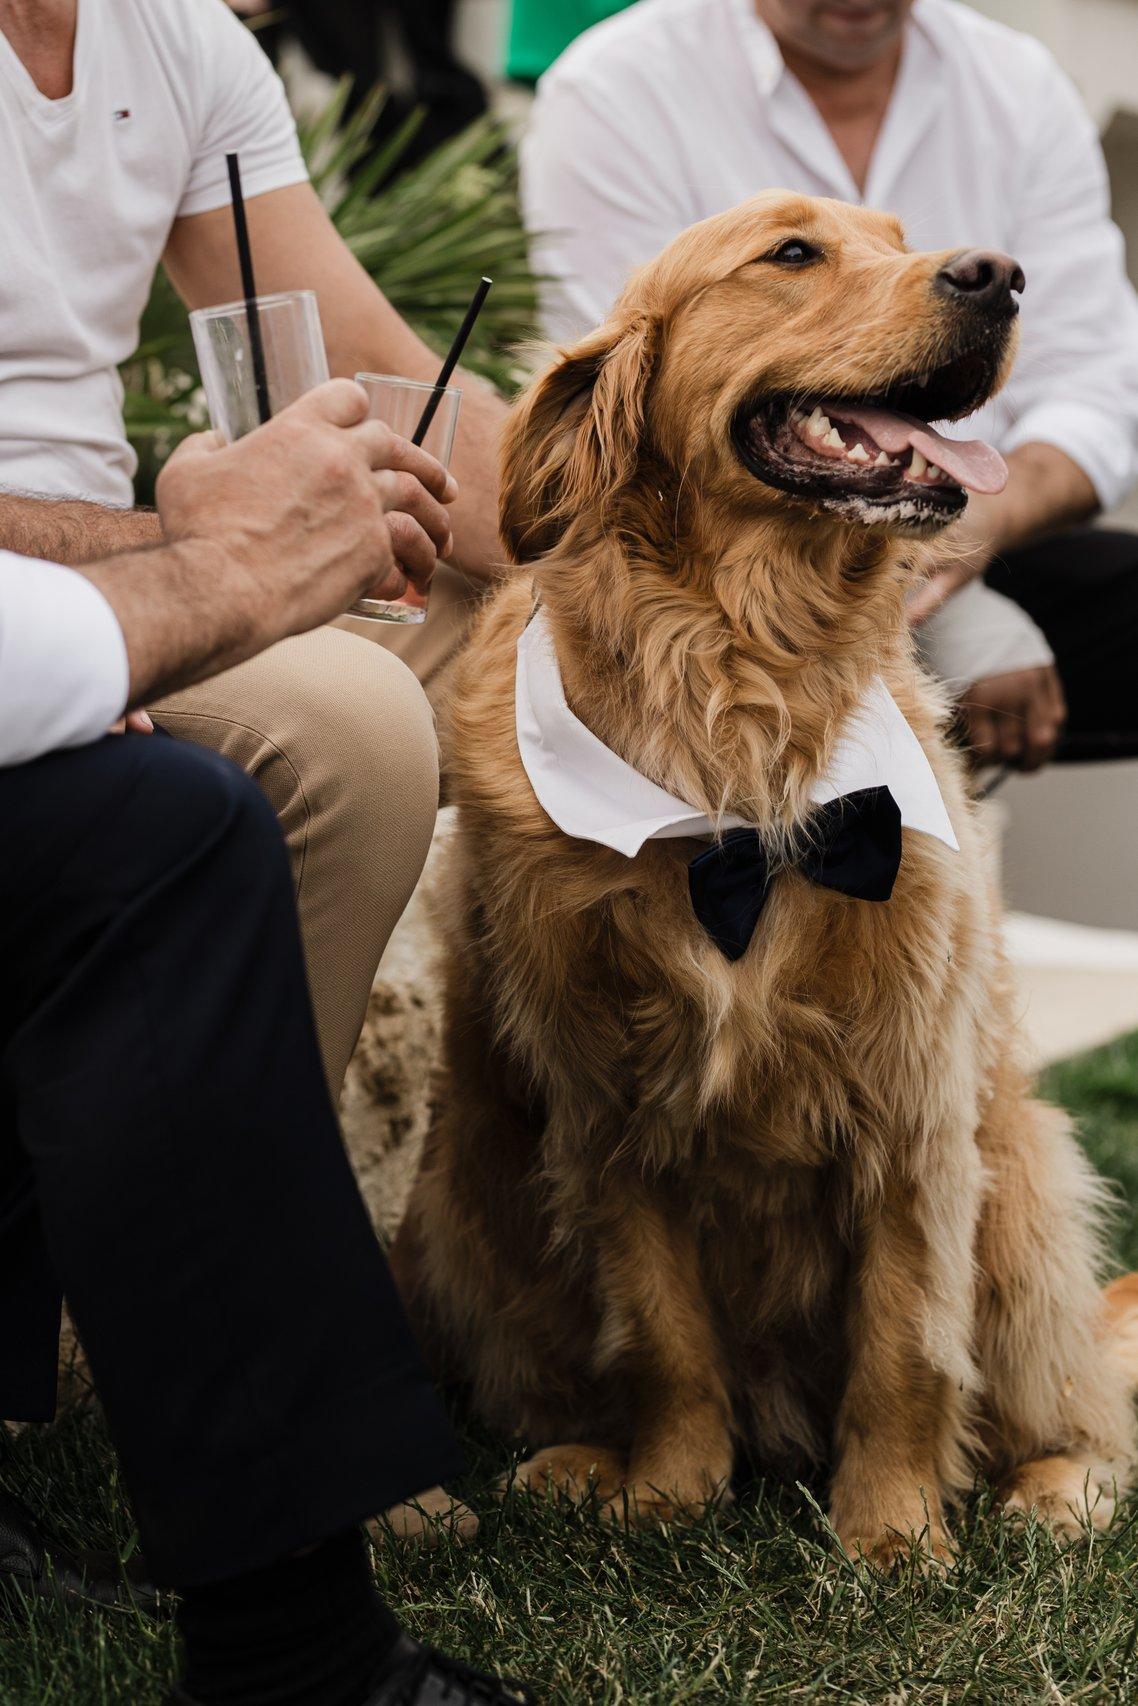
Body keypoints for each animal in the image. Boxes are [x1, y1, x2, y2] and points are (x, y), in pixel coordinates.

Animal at [395, 193, 1138, 1562]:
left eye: (896, 234)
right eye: (791, 252)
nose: (1001, 275)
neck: (738, 704)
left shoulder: (911, 1094)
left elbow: (904, 1343)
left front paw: (892, 1534)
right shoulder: (607, 1101)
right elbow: (664, 1336)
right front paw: (667, 1493)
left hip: (1018, 1176)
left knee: (1079, 1406)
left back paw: (1048, 1488)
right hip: (462, 1199)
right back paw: (571, 1462)